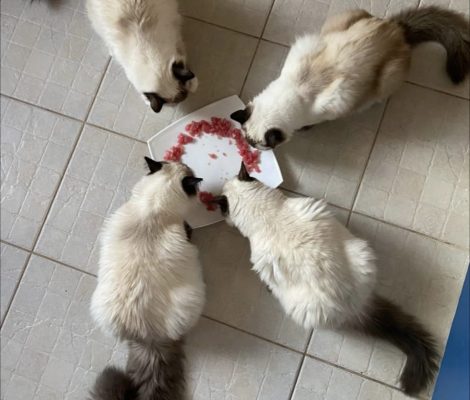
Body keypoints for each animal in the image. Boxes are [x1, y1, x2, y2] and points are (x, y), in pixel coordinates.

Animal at [231, 6, 470, 148]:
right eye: (247, 140)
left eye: (258, 144)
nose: (250, 147)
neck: (296, 92)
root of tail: (397, 29)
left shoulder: (334, 106)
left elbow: (314, 122)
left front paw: (306, 129)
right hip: (343, 17)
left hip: (387, 78)